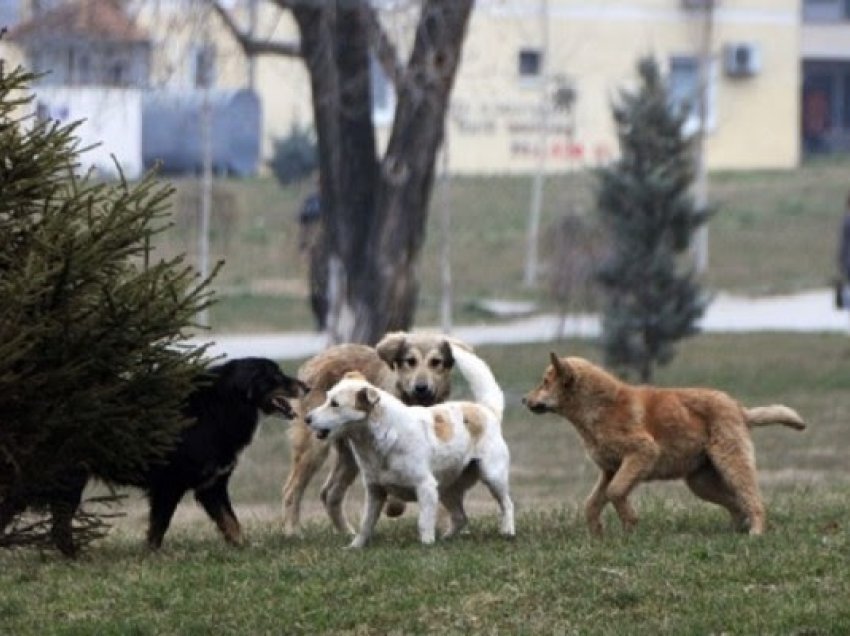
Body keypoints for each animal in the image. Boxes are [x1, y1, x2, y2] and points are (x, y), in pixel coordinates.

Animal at [1, 358, 306, 556]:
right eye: (276, 376)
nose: (305, 386)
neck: (219, 407)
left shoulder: (211, 486)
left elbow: (231, 523)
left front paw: (245, 547)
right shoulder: (169, 486)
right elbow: (159, 527)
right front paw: (152, 556)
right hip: (60, 480)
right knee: (50, 523)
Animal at [280, 332, 458, 536]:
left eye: (436, 362)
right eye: (410, 361)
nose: (421, 387)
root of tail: (315, 360)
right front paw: (394, 507)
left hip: (349, 456)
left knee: (329, 493)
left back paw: (347, 532)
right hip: (315, 448)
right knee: (291, 489)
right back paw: (292, 531)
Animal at [306, 342, 512, 548]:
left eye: (335, 404)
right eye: (327, 398)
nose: (307, 418)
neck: (383, 438)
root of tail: (487, 410)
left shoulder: (426, 487)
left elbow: (423, 522)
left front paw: (426, 545)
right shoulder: (375, 492)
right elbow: (366, 523)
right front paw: (355, 547)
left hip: (492, 476)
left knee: (507, 504)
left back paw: (507, 532)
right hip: (446, 489)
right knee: (460, 517)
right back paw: (447, 538)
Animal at [520, 352, 804, 536]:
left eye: (545, 382)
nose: (523, 399)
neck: (598, 408)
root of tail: (739, 408)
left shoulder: (642, 452)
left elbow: (615, 492)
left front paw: (630, 523)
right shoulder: (609, 470)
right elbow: (593, 503)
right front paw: (597, 533)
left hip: (731, 464)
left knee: (753, 500)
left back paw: (755, 532)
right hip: (701, 482)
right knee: (736, 503)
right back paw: (735, 531)